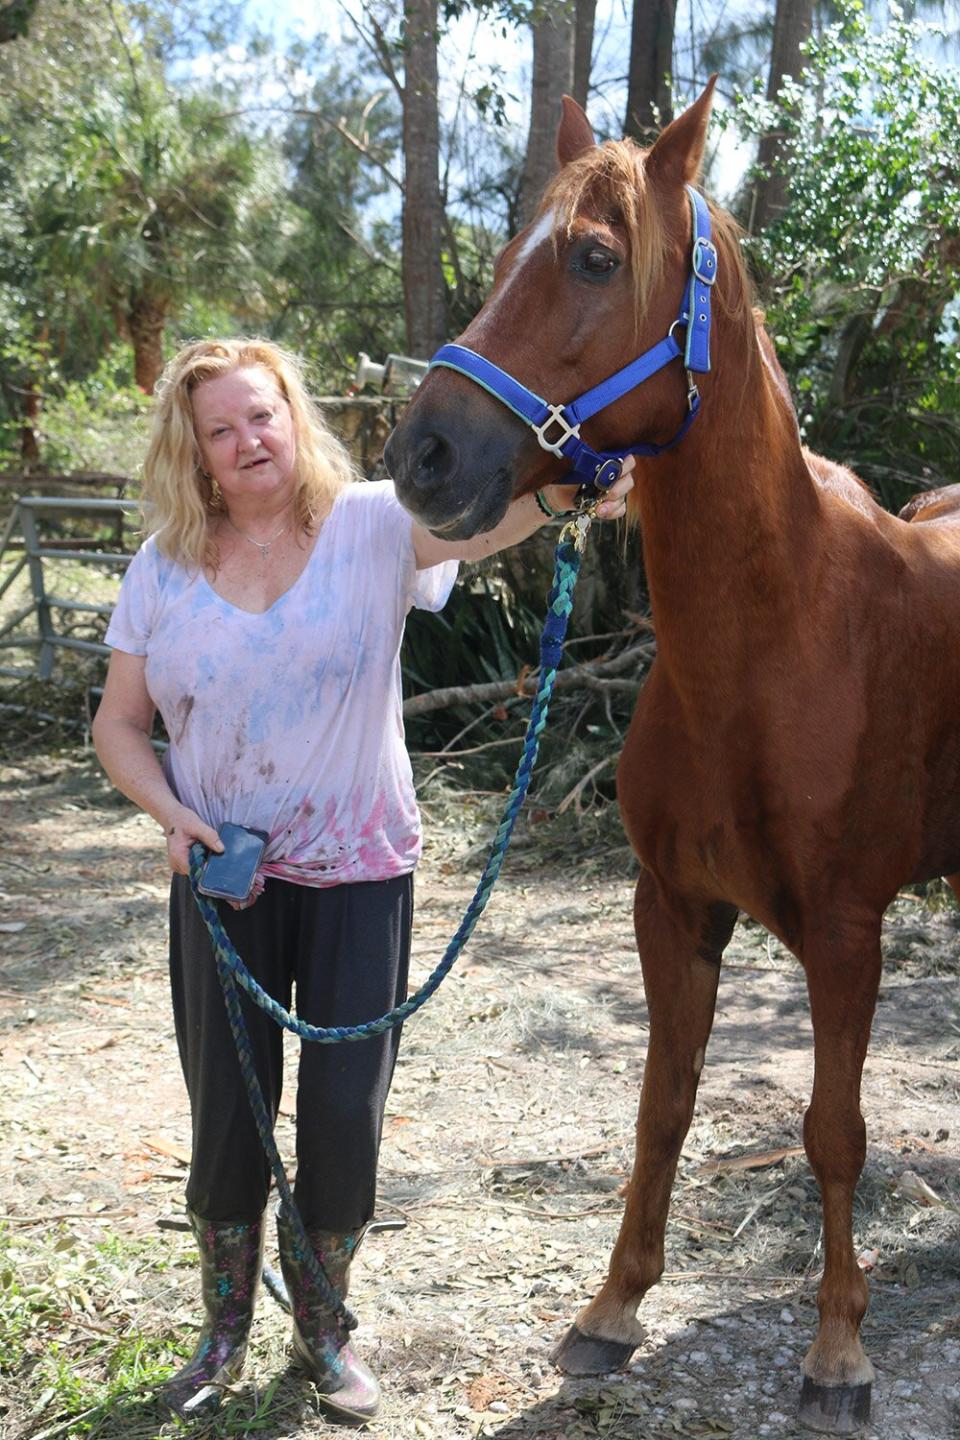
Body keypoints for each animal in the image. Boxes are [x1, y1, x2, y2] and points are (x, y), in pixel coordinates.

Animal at [382, 84, 960, 1434]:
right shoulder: (675, 906)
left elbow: (834, 1129)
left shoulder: (846, 931)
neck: (780, 638)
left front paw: (838, 1351)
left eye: (596, 259)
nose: (421, 455)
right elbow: (663, 1107)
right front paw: (612, 1308)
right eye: (506, 253)